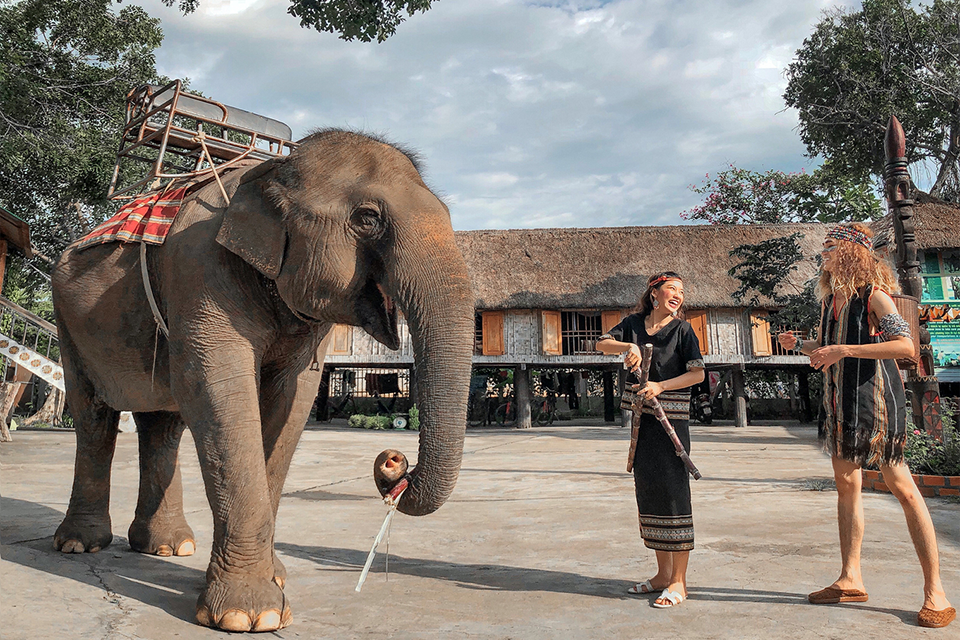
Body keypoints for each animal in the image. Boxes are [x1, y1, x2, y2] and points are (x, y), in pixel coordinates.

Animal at [48, 129, 476, 632]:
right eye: (367, 219)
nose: (393, 461)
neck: (272, 171)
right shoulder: (198, 269)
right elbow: (217, 390)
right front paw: (249, 615)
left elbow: (293, 399)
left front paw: (275, 579)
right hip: (68, 324)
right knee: (94, 417)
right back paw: (80, 544)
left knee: (161, 424)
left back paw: (169, 547)